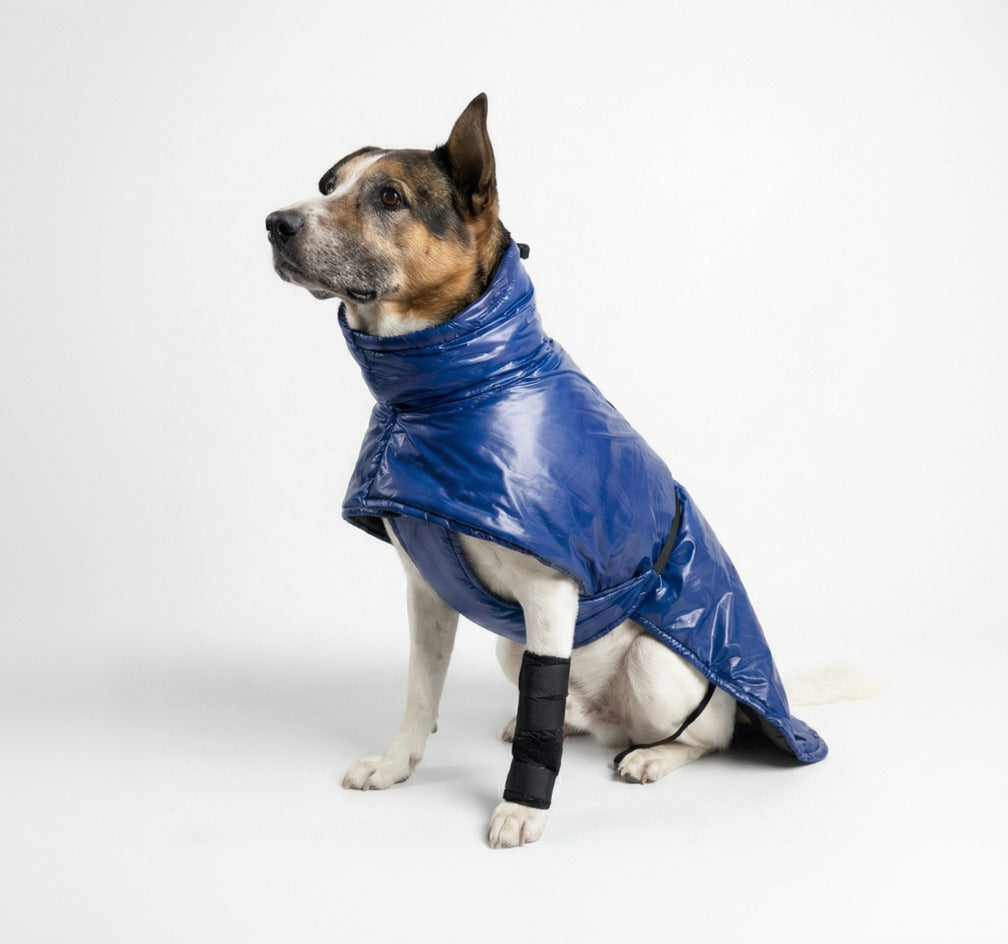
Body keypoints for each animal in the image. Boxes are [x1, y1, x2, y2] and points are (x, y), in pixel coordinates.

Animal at [266, 94, 829, 848]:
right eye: (328, 185)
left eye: (388, 197)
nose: (275, 223)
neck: (444, 394)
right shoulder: (427, 593)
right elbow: (420, 691)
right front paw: (396, 764)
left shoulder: (550, 595)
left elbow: (544, 699)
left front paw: (522, 808)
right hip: (512, 648)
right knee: (576, 717)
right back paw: (566, 723)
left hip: (655, 665)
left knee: (707, 735)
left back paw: (652, 755)